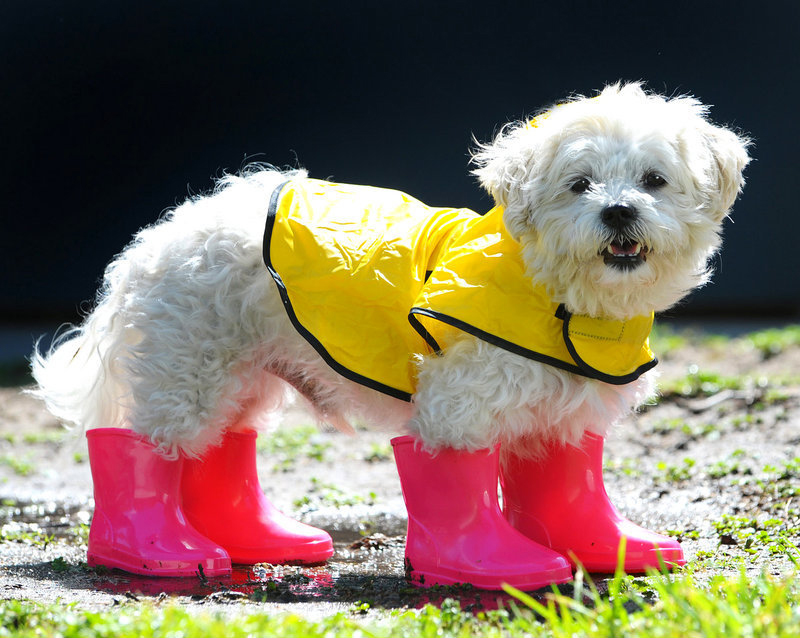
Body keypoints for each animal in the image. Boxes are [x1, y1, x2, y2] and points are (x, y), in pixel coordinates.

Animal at [29, 82, 752, 592]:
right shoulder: (458, 405)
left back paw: (255, 541)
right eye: (580, 185)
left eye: (654, 180)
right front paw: (490, 565)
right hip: (188, 370)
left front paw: (603, 547)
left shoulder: (562, 413)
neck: (559, 297)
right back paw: (154, 553)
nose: (619, 210)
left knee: (222, 449)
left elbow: (561, 485)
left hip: (242, 376)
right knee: (143, 446)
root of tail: (158, 235)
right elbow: (454, 479)